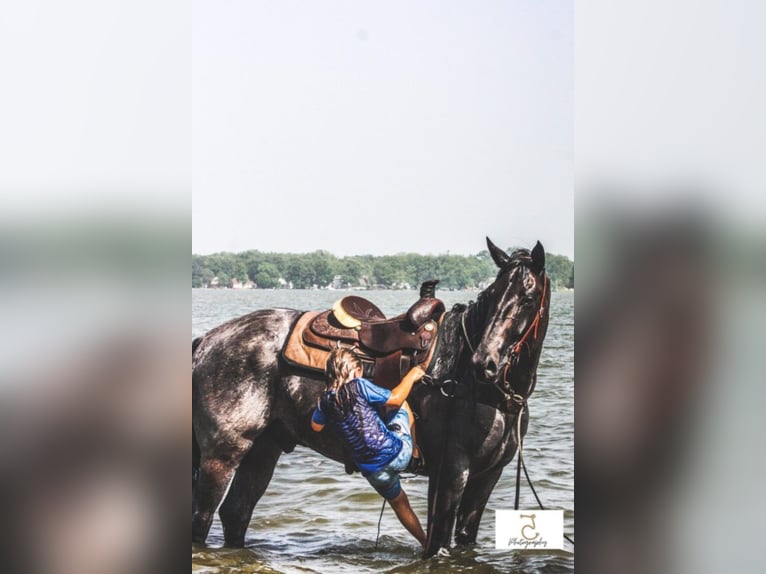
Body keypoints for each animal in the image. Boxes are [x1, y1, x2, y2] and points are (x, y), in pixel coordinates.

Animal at [192, 238, 552, 560]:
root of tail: (207, 340)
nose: (484, 363)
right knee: (203, 518)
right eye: (491, 295)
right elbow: (438, 545)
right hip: (222, 455)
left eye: (528, 298)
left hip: (264, 449)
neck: (464, 375)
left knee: (236, 512)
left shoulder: (486, 478)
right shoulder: (450, 474)